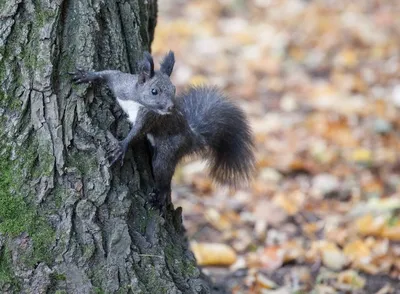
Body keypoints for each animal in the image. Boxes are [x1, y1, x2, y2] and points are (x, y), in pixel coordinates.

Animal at [69, 50, 255, 207]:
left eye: (174, 89)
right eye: (154, 91)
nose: (171, 107)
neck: (137, 100)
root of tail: (192, 136)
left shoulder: (149, 118)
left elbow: (136, 133)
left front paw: (122, 147)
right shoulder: (121, 84)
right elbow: (108, 73)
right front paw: (87, 75)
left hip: (171, 148)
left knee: (163, 171)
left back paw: (161, 195)